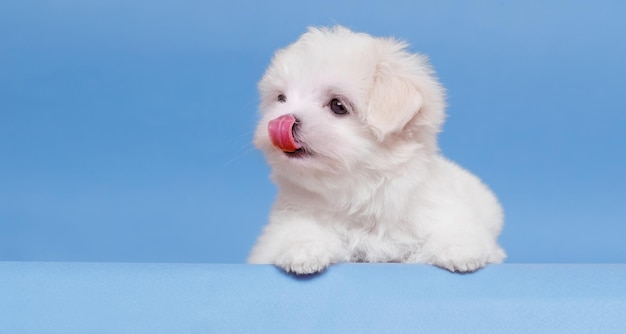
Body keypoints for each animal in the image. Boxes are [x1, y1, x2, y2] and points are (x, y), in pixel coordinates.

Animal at [246, 26, 504, 274]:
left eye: (338, 105)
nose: (280, 120)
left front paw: (458, 249)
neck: (359, 191)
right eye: (281, 98)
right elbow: (295, 232)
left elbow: (454, 228)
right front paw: (302, 249)